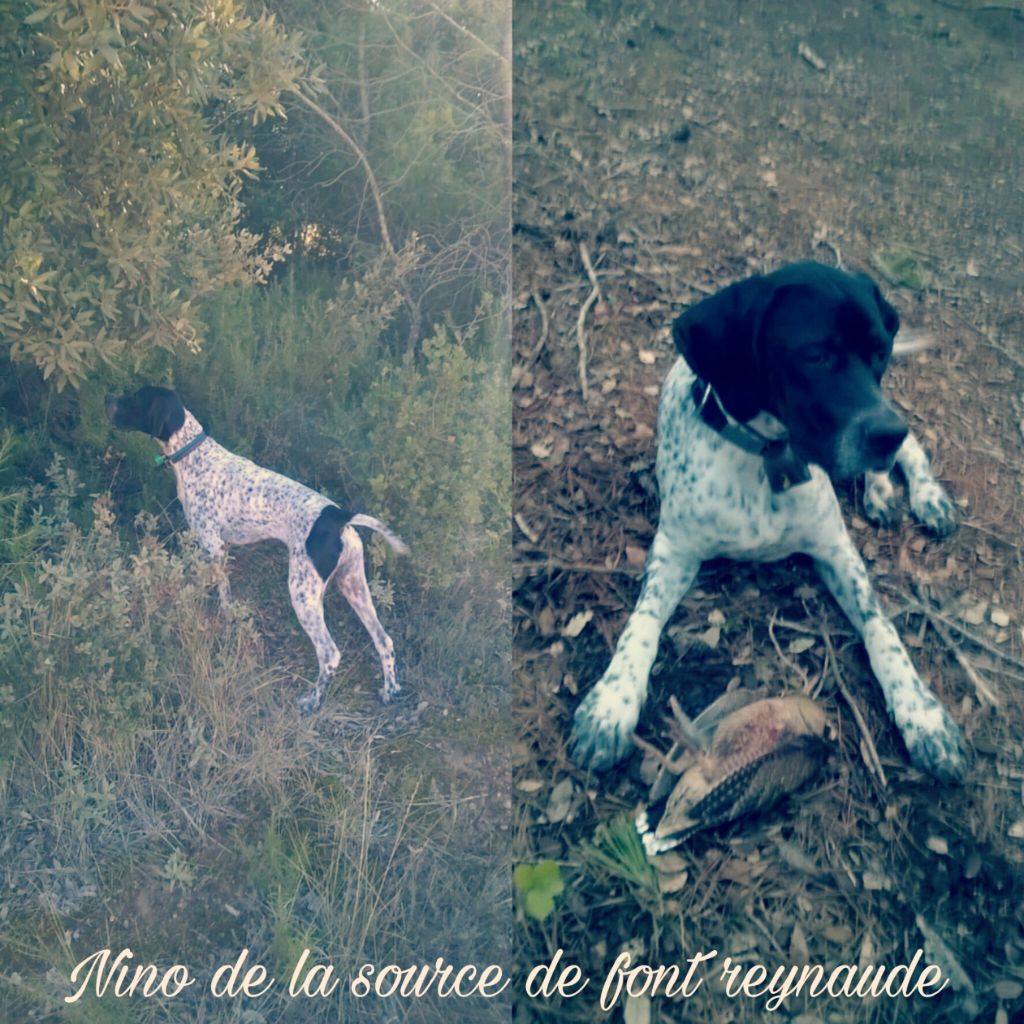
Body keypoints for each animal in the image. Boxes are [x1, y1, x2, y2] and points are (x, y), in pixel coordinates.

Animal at [569, 264, 966, 782]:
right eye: (815, 354)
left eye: (880, 351)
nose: (884, 434)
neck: (766, 457)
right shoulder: (674, 552)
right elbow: (641, 623)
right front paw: (610, 704)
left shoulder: (835, 551)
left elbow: (883, 629)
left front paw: (923, 714)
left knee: (913, 446)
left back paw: (920, 496)